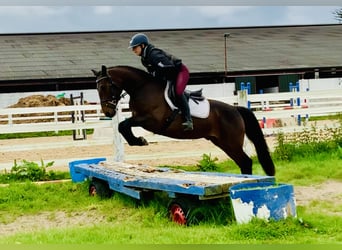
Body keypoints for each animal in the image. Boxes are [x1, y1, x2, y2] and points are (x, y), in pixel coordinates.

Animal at [91, 65, 276, 177]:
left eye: (106, 87)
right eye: (98, 88)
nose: (108, 112)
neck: (141, 88)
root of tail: (236, 109)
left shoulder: (150, 120)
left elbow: (123, 125)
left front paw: (140, 140)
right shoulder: (140, 118)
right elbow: (123, 126)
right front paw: (138, 141)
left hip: (231, 143)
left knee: (246, 161)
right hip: (222, 142)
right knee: (244, 162)